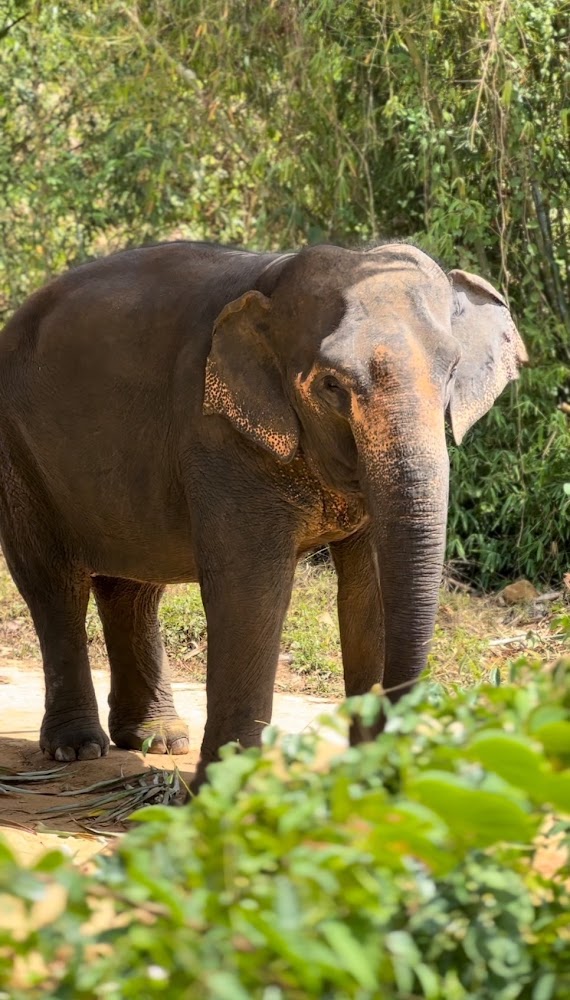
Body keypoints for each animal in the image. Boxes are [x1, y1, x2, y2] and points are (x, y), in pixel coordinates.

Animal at [0, 240, 526, 789]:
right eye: (331, 385)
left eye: (452, 370)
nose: (392, 769)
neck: (275, 280)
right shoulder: (219, 434)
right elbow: (251, 591)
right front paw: (226, 793)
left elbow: (372, 595)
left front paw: (364, 787)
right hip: (18, 452)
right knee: (54, 583)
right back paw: (78, 749)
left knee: (134, 589)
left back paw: (158, 740)